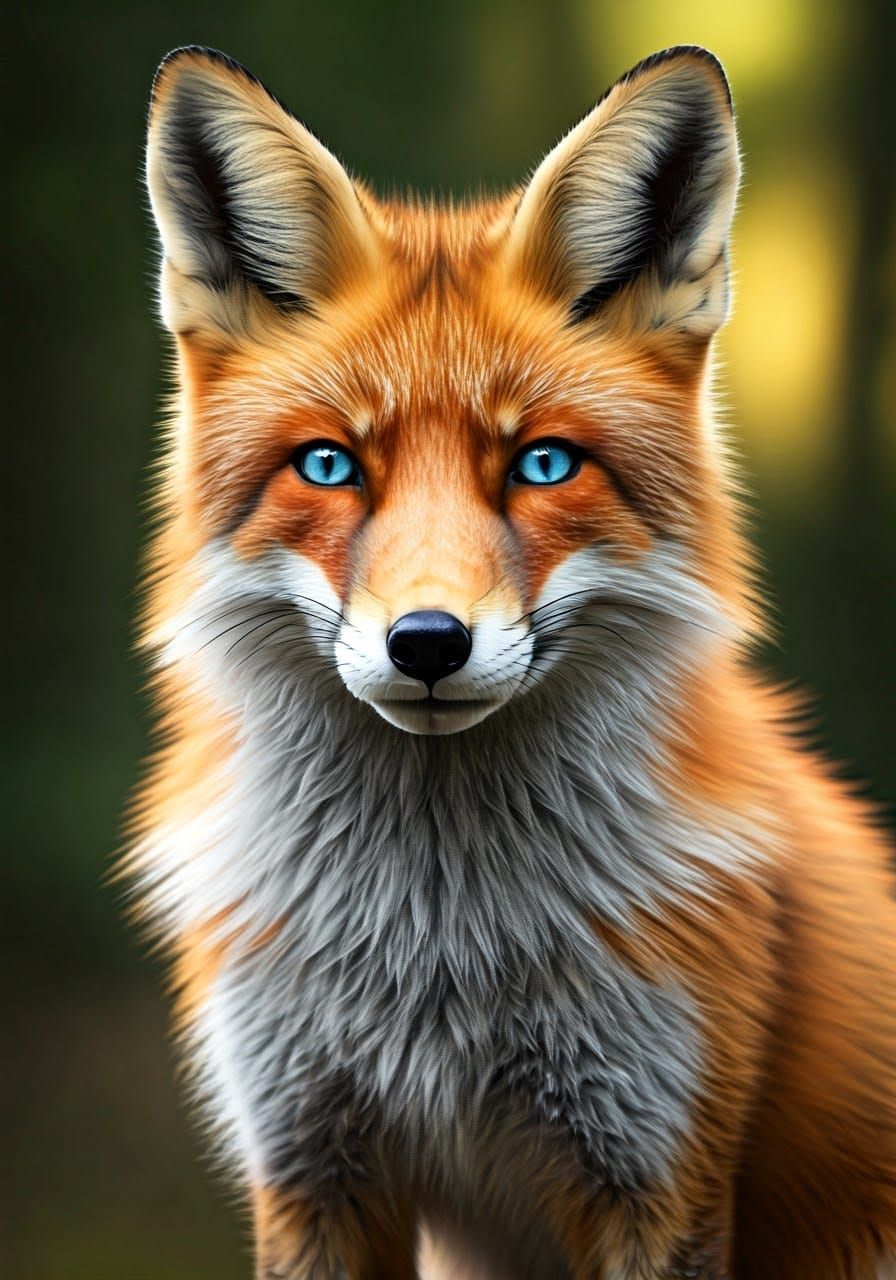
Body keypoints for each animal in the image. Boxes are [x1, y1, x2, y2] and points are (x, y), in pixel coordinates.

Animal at [129, 41, 896, 1279]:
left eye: (541, 463)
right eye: (330, 465)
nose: (427, 642)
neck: (438, 954)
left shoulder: (654, 1164)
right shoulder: (311, 1164)